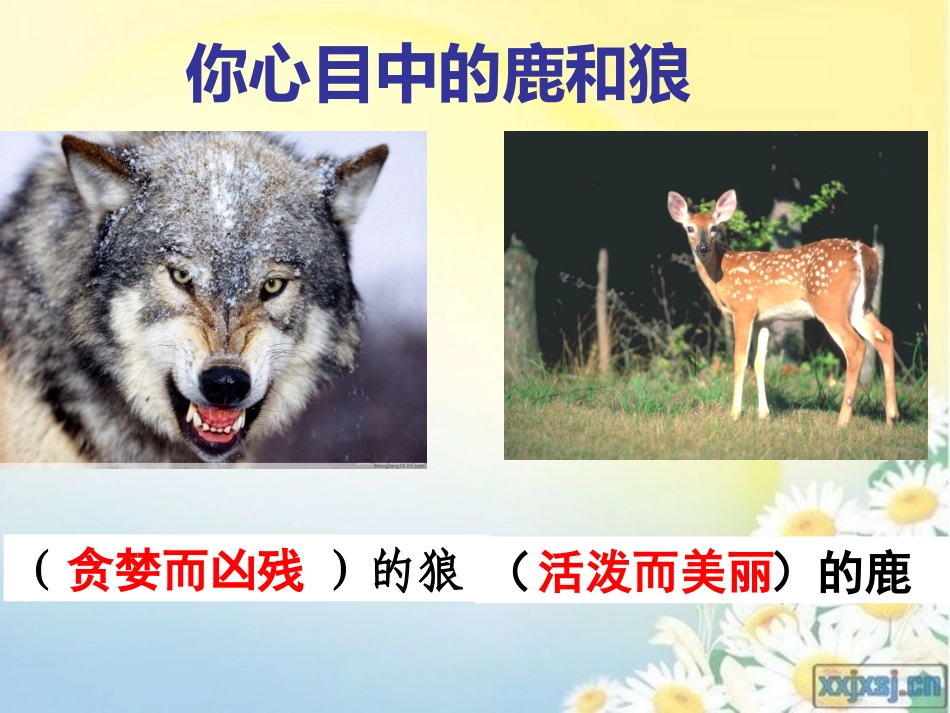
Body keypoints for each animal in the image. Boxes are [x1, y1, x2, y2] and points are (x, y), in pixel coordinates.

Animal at [666, 189, 899, 428]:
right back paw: (892, 417)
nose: (703, 248)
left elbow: (739, 361)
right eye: (690, 228)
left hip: (828, 302)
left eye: (714, 227)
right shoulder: (764, 319)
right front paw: (764, 413)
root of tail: (864, 251)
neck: (722, 274)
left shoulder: (743, 308)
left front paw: (734, 414)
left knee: (855, 345)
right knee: (884, 334)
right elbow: (759, 363)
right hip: (858, 306)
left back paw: (842, 420)